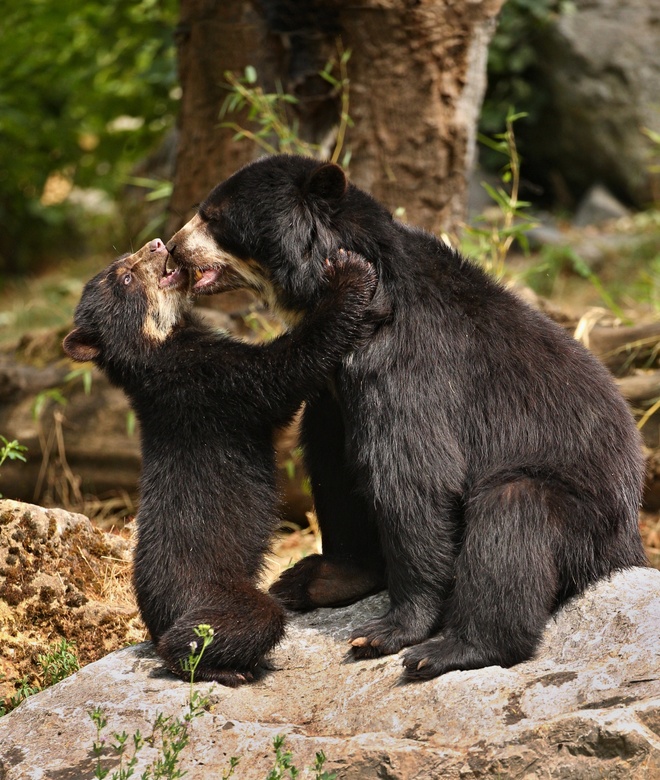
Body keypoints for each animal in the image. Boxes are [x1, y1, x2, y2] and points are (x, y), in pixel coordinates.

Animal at [62, 237, 379, 685]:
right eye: (124, 277)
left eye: (128, 259)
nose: (158, 243)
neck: (162, 342)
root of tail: (157, 620)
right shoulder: (212, 382)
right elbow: (284, 369)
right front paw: (350, 275)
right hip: (213, 592)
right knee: (237, 623)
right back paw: (225, 668)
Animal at [166, 154, 647, 681]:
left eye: (213, 217)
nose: (172, 248)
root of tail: (631, 542)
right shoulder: (334, 391)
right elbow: (333, 463)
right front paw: (323, 577)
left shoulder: (408, 363)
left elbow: (414, 476)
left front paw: (385, 631)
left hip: (582, 515)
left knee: (513, 520)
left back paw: (451, 648)